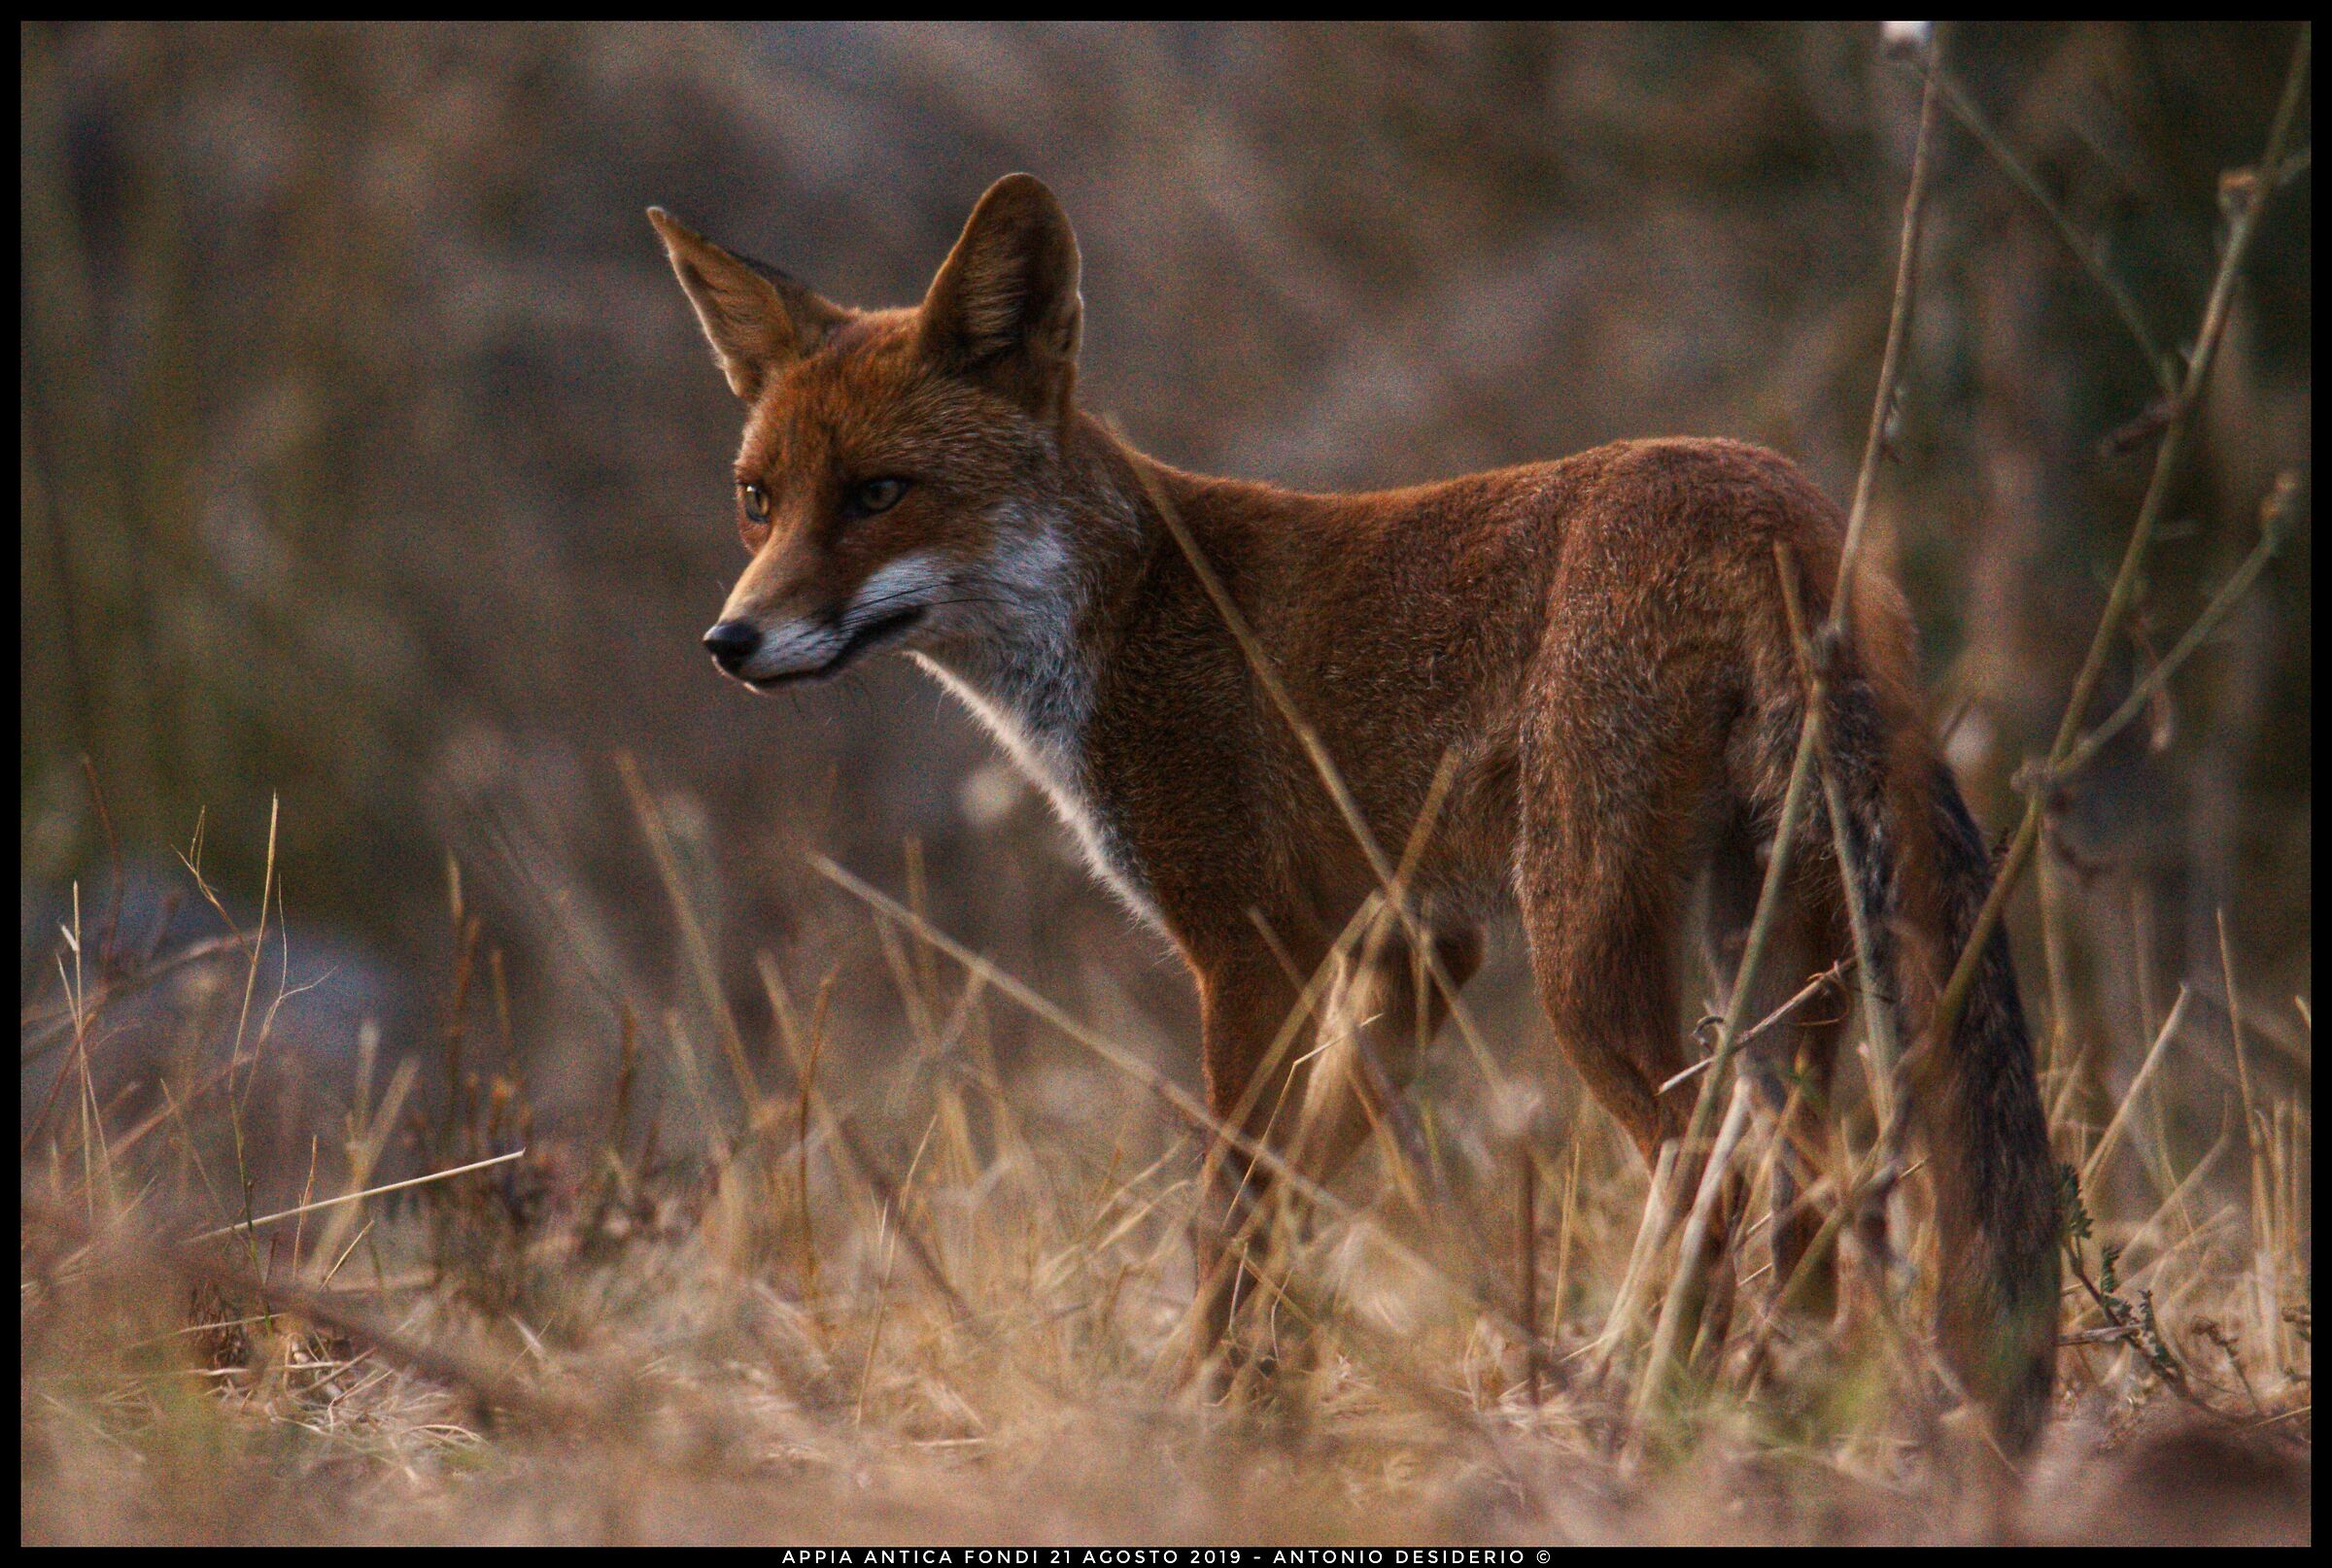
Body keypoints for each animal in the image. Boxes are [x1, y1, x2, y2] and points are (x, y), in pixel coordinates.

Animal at [648, 173, 2061, 1452]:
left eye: (879, 493)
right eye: (758, 497)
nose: (728, 641)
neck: (1123, 611)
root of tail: (1773, 493)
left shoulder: (1249, 946)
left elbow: (1227, 1209)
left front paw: (1211, 1415)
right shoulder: (1413, 943)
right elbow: (1292, 1202)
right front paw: (1248, 1387)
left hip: (1590, 949)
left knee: (1701, 1171)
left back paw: (1656, 1405)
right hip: (1774, 956)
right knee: (1815, 1189)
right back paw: (1790, 1413)